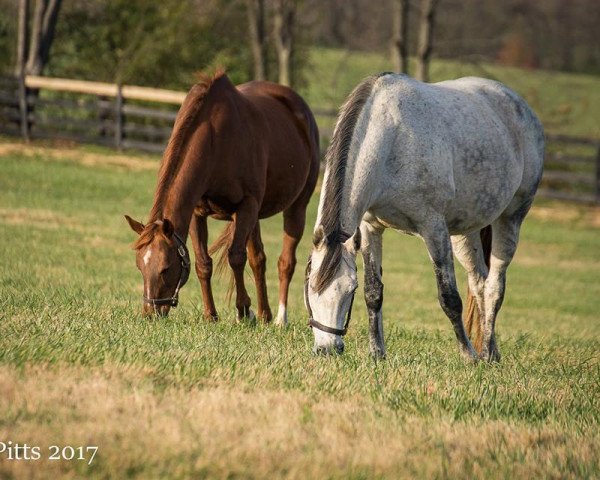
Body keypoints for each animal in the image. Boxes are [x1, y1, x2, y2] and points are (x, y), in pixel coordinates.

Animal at [125, 71, 318, 324]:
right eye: (139, 266)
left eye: (166, 267)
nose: (150, 314)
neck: (216, 138)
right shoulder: (198, 212)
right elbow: (203, 263)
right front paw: (211, 315)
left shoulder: (246, 205)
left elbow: (236, 257)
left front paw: (243, 310)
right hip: (253, 217)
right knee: (258, 259)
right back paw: (264, 314)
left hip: (295, 207)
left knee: (285, 262)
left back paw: (279, 319)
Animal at [304, 73, 544, 362]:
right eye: (309, 287)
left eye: (349, 290)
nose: (326, 350)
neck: (390, 139)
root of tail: (521, 106)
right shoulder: (371, 227)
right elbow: (374, 292)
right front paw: (377, 353)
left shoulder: (433, 228)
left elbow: (449, 298)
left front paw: (468, 356)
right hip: (465, 234)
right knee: (480, 283)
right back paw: (493, 353)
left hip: (510, 218)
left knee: (495, 287)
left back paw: (484, 353)